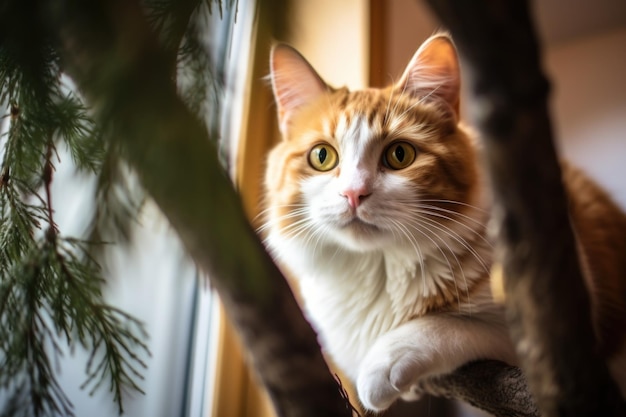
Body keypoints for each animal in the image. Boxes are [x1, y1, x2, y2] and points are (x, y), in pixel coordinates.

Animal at [258, 34, 624, 412]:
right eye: (322, 156)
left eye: (399, 155)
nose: (354, 194)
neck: (377, 267)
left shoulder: (556, 335)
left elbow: (445, 325)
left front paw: (383, 364)